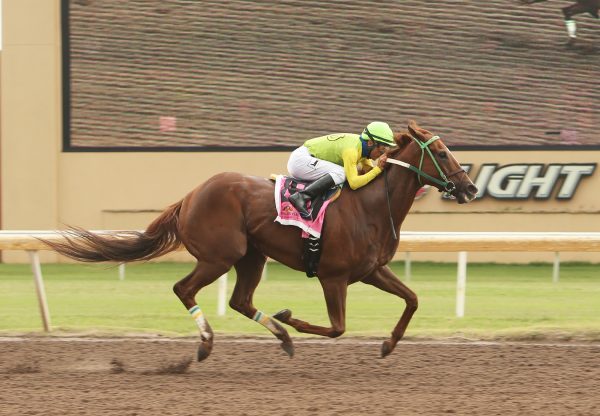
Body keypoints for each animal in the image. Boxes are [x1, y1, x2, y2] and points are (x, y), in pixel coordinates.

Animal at [44, 120, 478, 360]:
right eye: (442, 152)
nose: (471, 188)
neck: (371, 205)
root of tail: (191, 195)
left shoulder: (371, 271)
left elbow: (412, 299)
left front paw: (388, 344)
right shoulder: (333, 276)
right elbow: (336, 328)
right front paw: (291, 317)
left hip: (251, 256)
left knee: (239, 300)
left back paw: (280, 337)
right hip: (221, 255)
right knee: (184, 288)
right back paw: (208, 342)